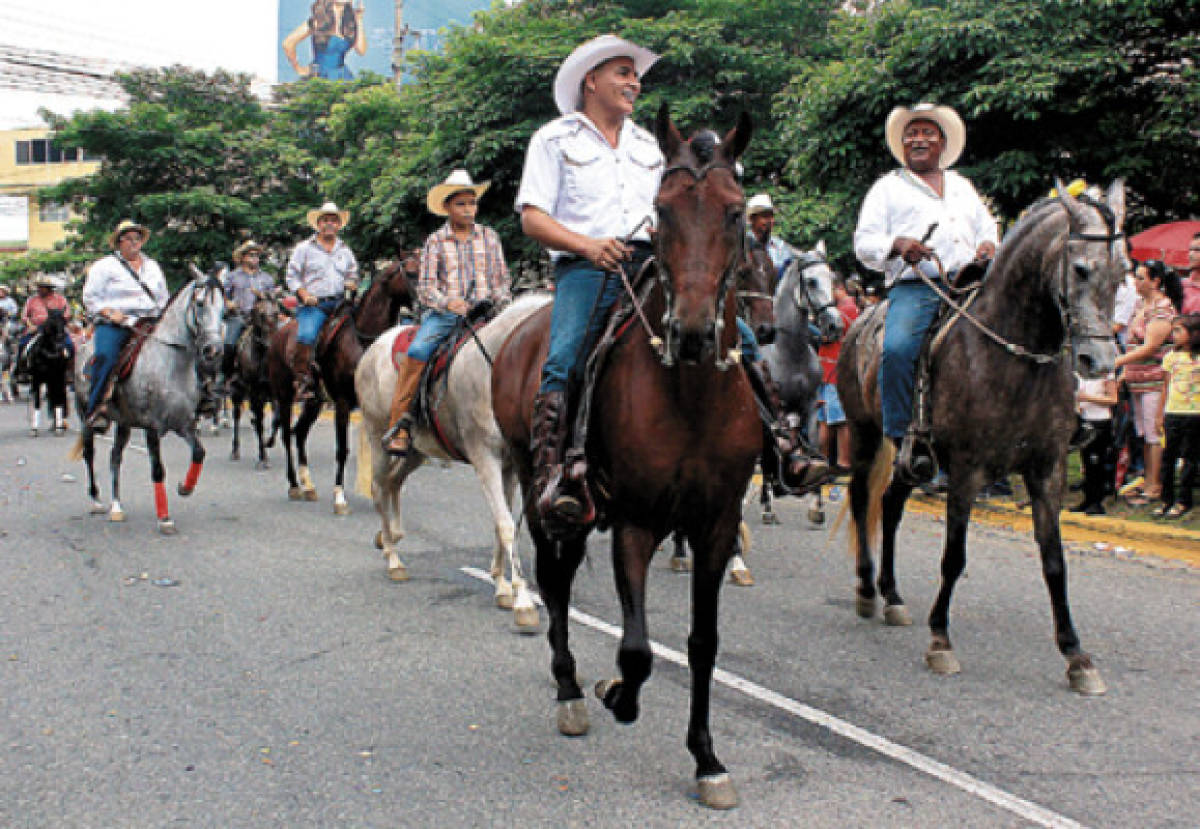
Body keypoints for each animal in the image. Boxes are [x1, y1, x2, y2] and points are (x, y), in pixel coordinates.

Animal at [70, 268, 226, 535]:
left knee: (115, 457)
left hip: (124, 423)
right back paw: (97, 501)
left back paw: (117, 507)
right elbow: (158, 470)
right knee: (89, 453)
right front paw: (164, 518)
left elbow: (199, 452)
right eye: (200, 303)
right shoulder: (152, 427)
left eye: (223, 308)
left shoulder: (184, 424)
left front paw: (185, 488)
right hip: (85, 417)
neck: (170, 363)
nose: (213, 351)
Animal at [268, 256, 422, 508]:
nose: (425, 304)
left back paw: (308, 486)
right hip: (284, 395)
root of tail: (279, 334)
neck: (363, 341)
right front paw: (339, 496)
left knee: (299, 432)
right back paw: (294, 485)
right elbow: (342, 449)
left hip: (314, 401)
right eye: (410, 273)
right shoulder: (342, 403)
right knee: (287, 435)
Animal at [350, 296, 549, 628]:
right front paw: (523, 601)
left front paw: (501, 585)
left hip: (415, 451)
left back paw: (390, 537)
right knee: (378, 488)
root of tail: (374, 347)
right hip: (378, 436)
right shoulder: (485, 458)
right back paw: (393, 558)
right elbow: (506, 524)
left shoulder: (509, 465)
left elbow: (502, 523)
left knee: (393, 482)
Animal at [489, 108, 753, 811]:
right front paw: (616, 694)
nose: (692, 333)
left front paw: (707, 760)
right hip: (545, 494)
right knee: (553, 584)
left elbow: (703, 643)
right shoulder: (635, 520)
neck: (690, 392)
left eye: (735, 211)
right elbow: (636, 650)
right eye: (661, 210)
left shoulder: (717, 524)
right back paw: (570, 691)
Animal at [835, 179, 1123, 695]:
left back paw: (892, 596)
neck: (1014, 357)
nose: (1100, 363)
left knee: (890, 505)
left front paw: (1076, 655)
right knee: (861, 497)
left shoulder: (1046, 469)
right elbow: (954, 556)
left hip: (913, 457)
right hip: (866, 434)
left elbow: (1055, 562)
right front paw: (940, 640)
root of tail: (860, 323)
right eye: (1081, 268)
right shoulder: (967, 469)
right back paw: (867, 588)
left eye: (1124, 271)